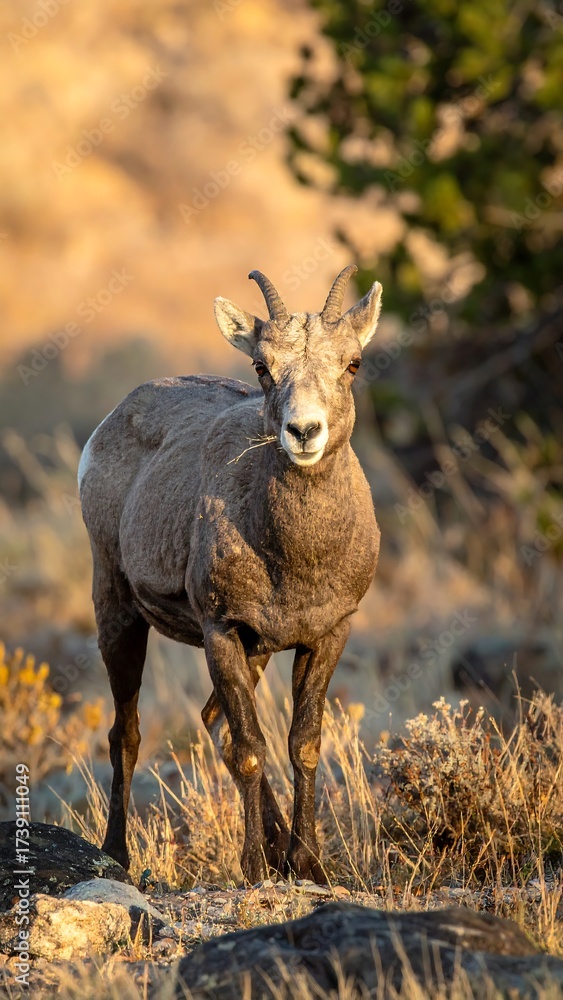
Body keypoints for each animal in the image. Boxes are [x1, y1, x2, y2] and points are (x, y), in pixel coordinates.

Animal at [78, 265, 382, 884]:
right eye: (262, 367)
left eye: (353, 363)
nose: (303, 431)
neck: (294, 558)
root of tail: (106, 428)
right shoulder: (220, 632)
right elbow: (248, 749)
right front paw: (255, 868)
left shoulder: (323, 636)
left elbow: (301, 744)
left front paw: (305, 865)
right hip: (117, 611)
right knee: (127, 733)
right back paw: (116, 857)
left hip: (255, 653)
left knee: (213, 721)